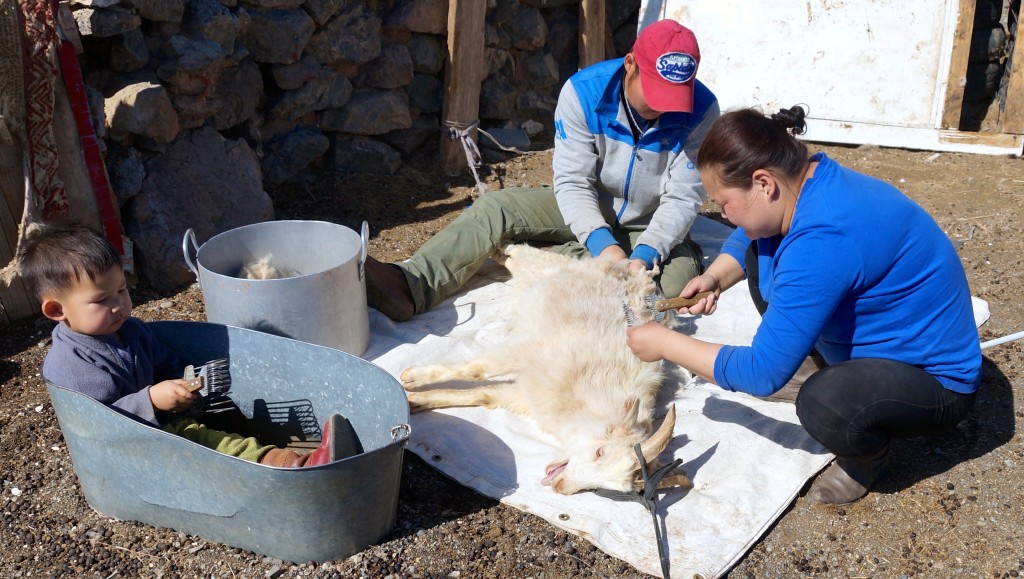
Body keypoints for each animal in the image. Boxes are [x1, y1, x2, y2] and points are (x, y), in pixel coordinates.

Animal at [397, 242, 688, 491]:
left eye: (605, 486)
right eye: (599, 452)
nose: (561, 487)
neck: (592, 393)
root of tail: (628, 272)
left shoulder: (528, 395)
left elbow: (482, 395)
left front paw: (416, 402)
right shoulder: (527, 350)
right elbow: (476, 370)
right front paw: (411, 376)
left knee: (515, 264)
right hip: (544, 266)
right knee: (521, 254)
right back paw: (502, 247)